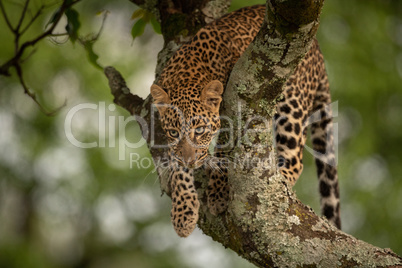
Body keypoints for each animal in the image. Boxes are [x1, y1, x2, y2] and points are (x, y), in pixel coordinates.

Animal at [149, 4, 340, 237]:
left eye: (200, 130)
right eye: (174, 132)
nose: (190, 161)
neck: (186, 72)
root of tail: (317, 50)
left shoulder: (235, 107)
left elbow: (224, 150)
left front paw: (219, 193)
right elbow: (177, 167)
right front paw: (183, 213)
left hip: (293, 102)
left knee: (296, 159)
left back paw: (281, 180)